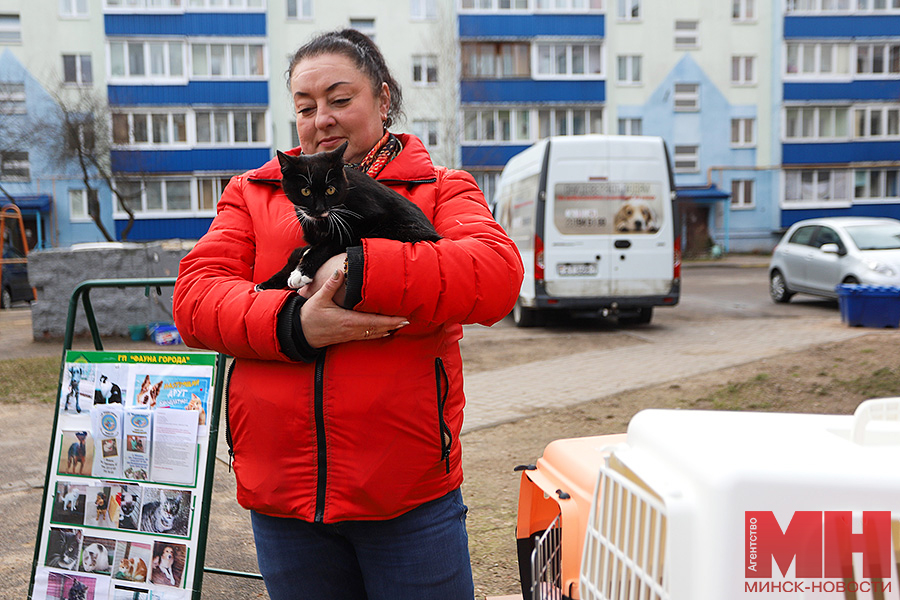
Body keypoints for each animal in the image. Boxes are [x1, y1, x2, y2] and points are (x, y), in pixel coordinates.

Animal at [255, 141, 442, 290]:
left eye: (330, 190)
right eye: (305, 191)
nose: (320, 209)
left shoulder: (366, 220)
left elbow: (331, 242)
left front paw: (301, 272)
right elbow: (301, 250)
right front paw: (268, 283)